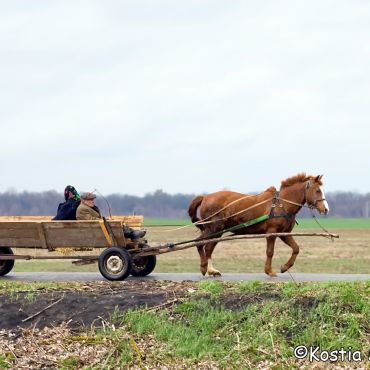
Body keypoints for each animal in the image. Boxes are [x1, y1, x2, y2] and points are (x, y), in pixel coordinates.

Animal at [188, 173, 330, 278]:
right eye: (317, 190)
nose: (326, 209)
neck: (281, 204)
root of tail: (205, 197)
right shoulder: (272, 233)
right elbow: (270, 252)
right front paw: (269, 271)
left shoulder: (284, 234)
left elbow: (296, 248)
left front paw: (284, 267)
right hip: (214, 229)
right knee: (202, 244)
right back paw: (207, 268)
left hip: (215, 230)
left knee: (205, 246)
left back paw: (209, 269)